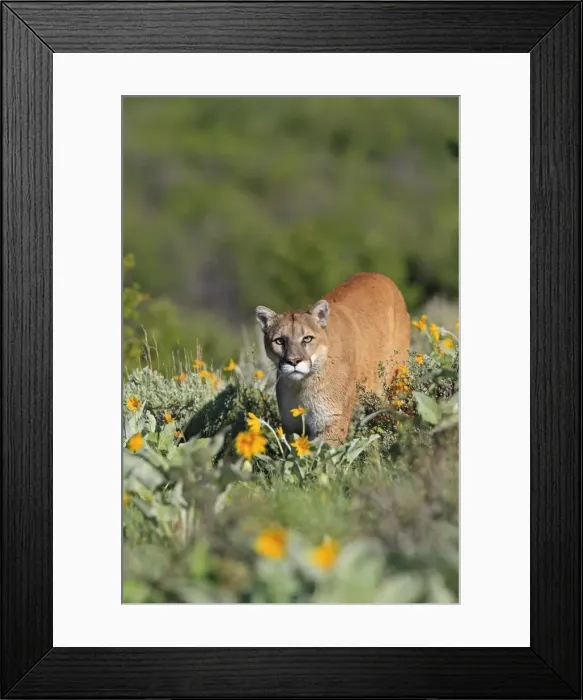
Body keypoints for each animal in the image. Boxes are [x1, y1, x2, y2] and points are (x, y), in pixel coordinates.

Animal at [256, 272, 410, 445]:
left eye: (307, 338)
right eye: (280, 341)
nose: (294, 361)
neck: (301, 385)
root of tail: (379, 275)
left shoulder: (332, 424)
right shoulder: (291, 426)